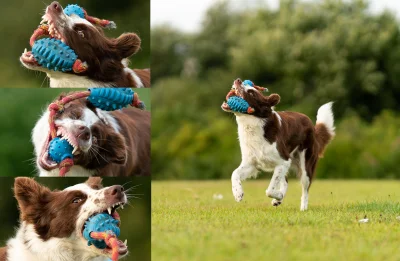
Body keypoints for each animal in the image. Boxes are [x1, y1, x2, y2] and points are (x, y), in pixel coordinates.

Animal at [222, 78, 334, 210]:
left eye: (251, 93)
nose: (238, 80)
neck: (252, 124)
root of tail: (311, 125)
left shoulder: (283, 160)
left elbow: (269, 190)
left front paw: (278, 195)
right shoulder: (252, 163)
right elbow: (234, 173)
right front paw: (238, 193)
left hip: (305, 163)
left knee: (305, 188)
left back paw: (302, 208)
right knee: (285, 181)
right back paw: (278, 200)